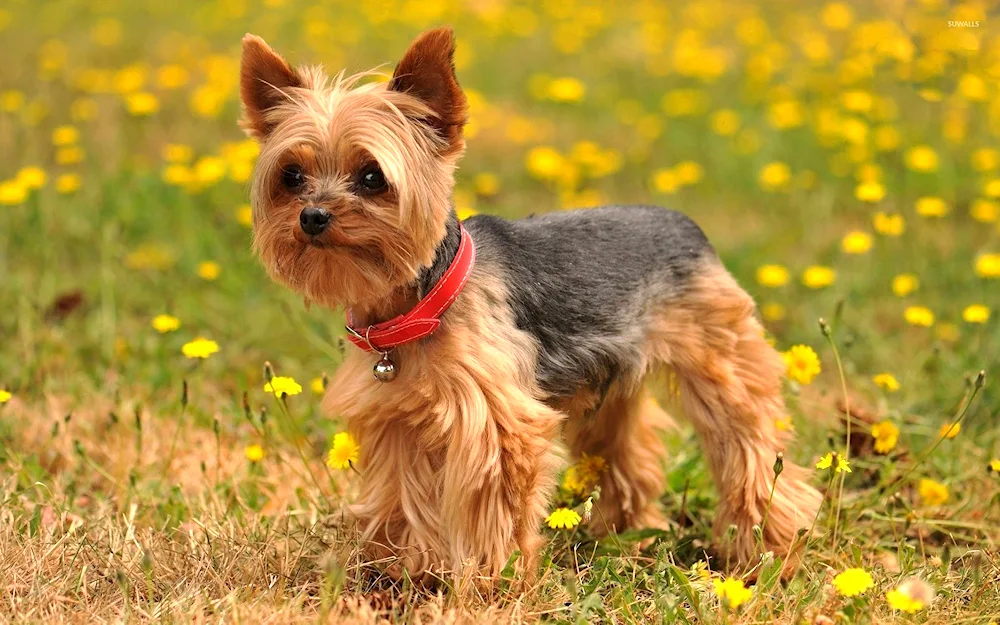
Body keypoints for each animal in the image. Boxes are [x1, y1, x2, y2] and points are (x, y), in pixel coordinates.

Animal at [240, 26, 820, 584]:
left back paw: (770, 551)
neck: (419, 300)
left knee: (749, 444)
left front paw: (488, 580)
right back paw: (625, 534)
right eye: (291, 176)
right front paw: (401, 571)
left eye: (371, 177)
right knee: (627, 453)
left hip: (721, 356)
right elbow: (403, 497)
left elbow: (490, 505)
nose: (313, 216)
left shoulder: (495, 422)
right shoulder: (394, 421)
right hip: (607, 386)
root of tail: (684, 221)